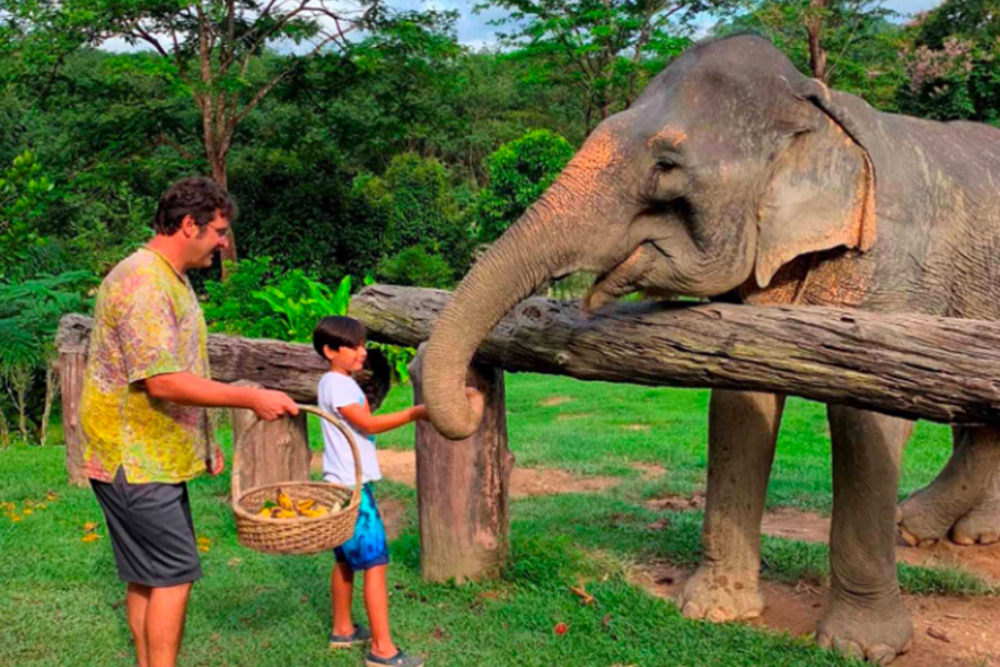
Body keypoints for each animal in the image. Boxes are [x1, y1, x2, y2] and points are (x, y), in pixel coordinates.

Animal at [420, 34, 1000, 664]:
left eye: (666, 166)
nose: (470, 398)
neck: (819, 108)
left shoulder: (896, 270)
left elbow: (866, 419)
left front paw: (858, 647)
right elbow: (740, 401)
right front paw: (712, 610)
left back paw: (930, 528)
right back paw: (937, 528)